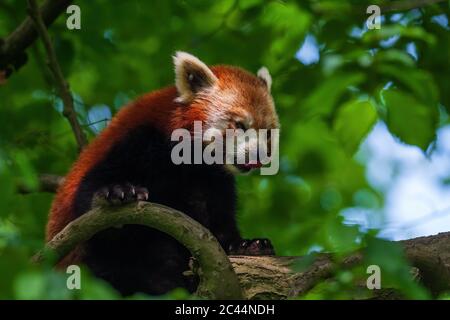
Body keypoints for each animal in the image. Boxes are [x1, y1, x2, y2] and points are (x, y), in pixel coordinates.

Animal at [45, 52, 278, 296]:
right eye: (240, 126)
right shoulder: (138, 138)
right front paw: (116, 192)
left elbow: (219, 224)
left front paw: (246, 245)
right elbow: (90, 196)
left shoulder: (213, 181)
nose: (260, 154)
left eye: (267, 133)